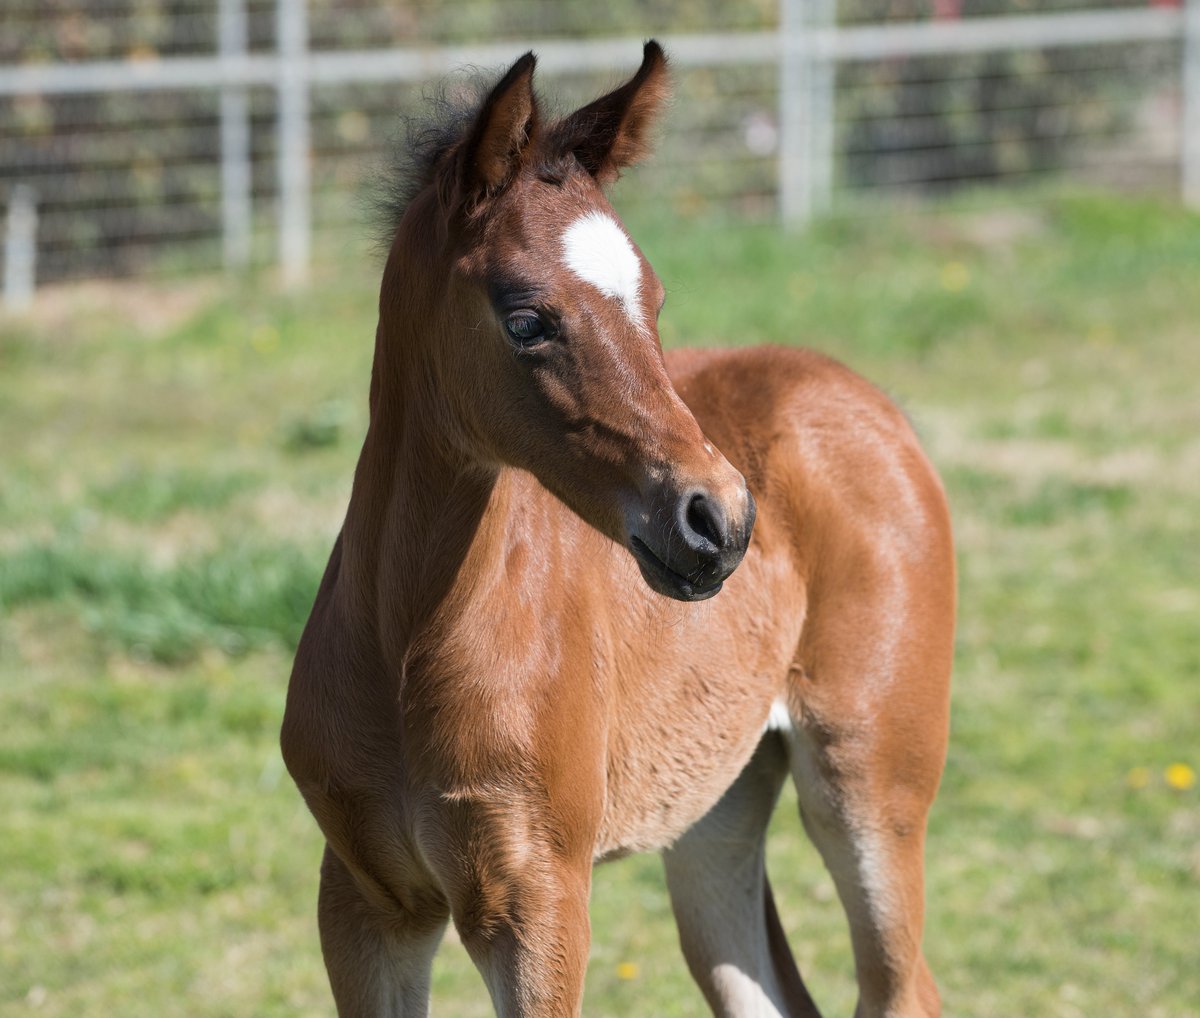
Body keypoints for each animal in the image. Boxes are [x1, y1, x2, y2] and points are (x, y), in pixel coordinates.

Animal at [281, 41, 954, 1018]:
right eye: (525, 318)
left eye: (655, 301)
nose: (718, 520)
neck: (407, 640)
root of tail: (862, 395)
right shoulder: (367, 903)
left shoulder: (538, 902)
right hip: (716, 808)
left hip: (870, 780)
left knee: (903, 985)